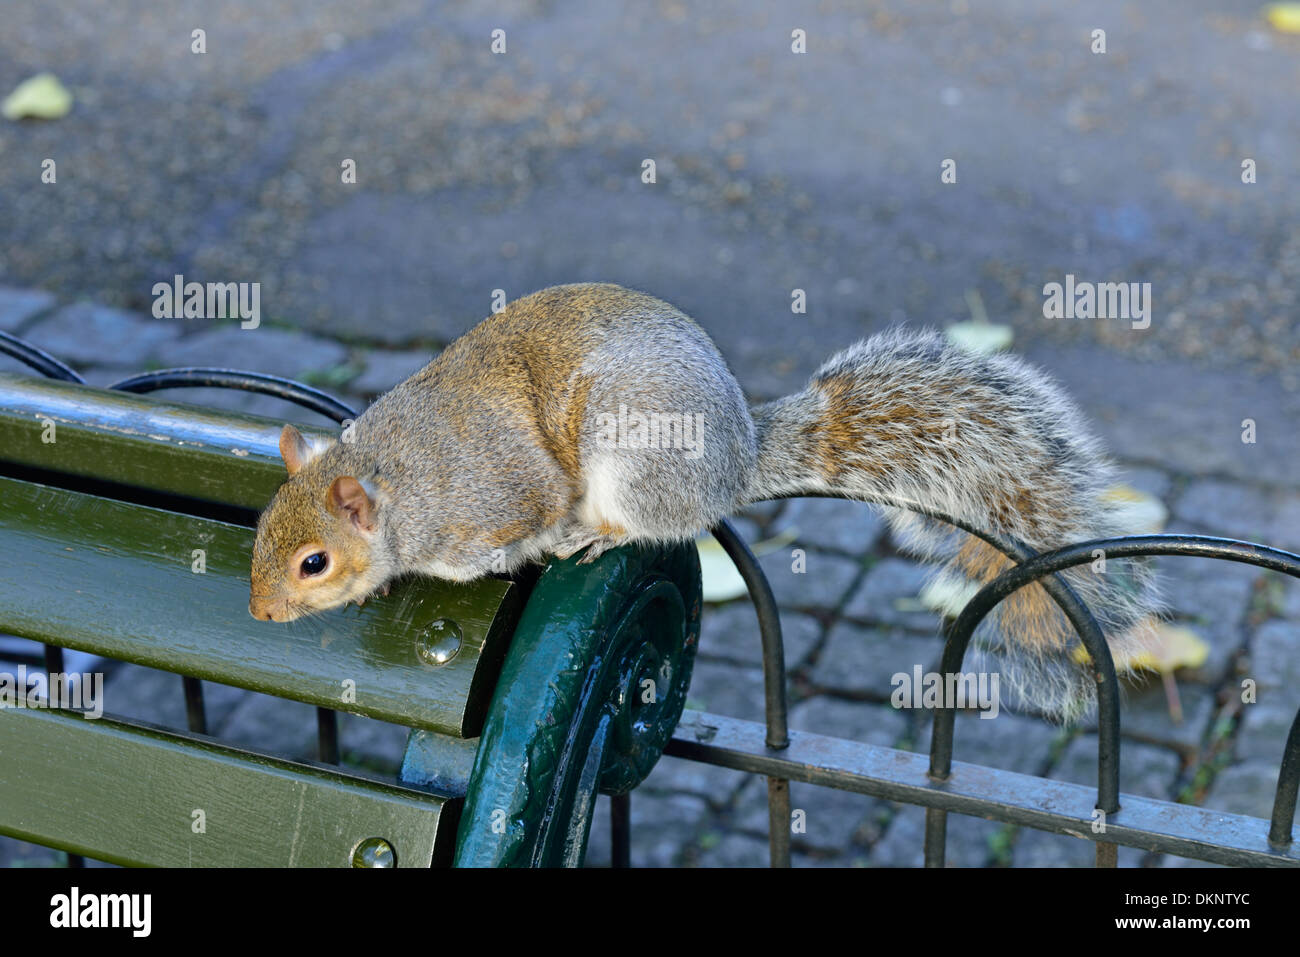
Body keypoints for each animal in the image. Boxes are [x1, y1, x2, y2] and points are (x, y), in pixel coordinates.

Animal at [249, 282, 1159, 719]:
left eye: (314, 561)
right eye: (260, 533)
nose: (259, 613)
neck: (394, 478)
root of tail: (737, 460)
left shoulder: (493, 495)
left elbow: (529, 521)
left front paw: (538, 545)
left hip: (635, 457)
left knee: (648, 519)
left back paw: (599, 533)